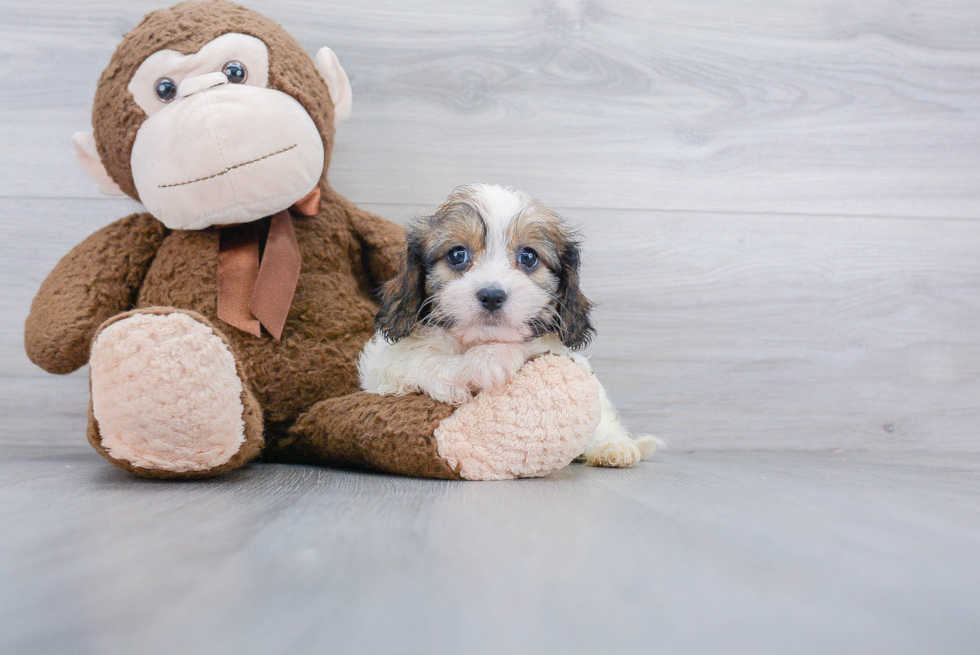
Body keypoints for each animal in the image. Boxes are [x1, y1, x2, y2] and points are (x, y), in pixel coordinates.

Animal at [356, 184, 664, 466]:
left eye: (528, 257)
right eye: (457, 255)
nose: (492, 295)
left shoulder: (562, 354)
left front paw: (491, 357)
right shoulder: (381, 367)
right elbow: (417, 358)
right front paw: (470, 368)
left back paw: (612, 447)